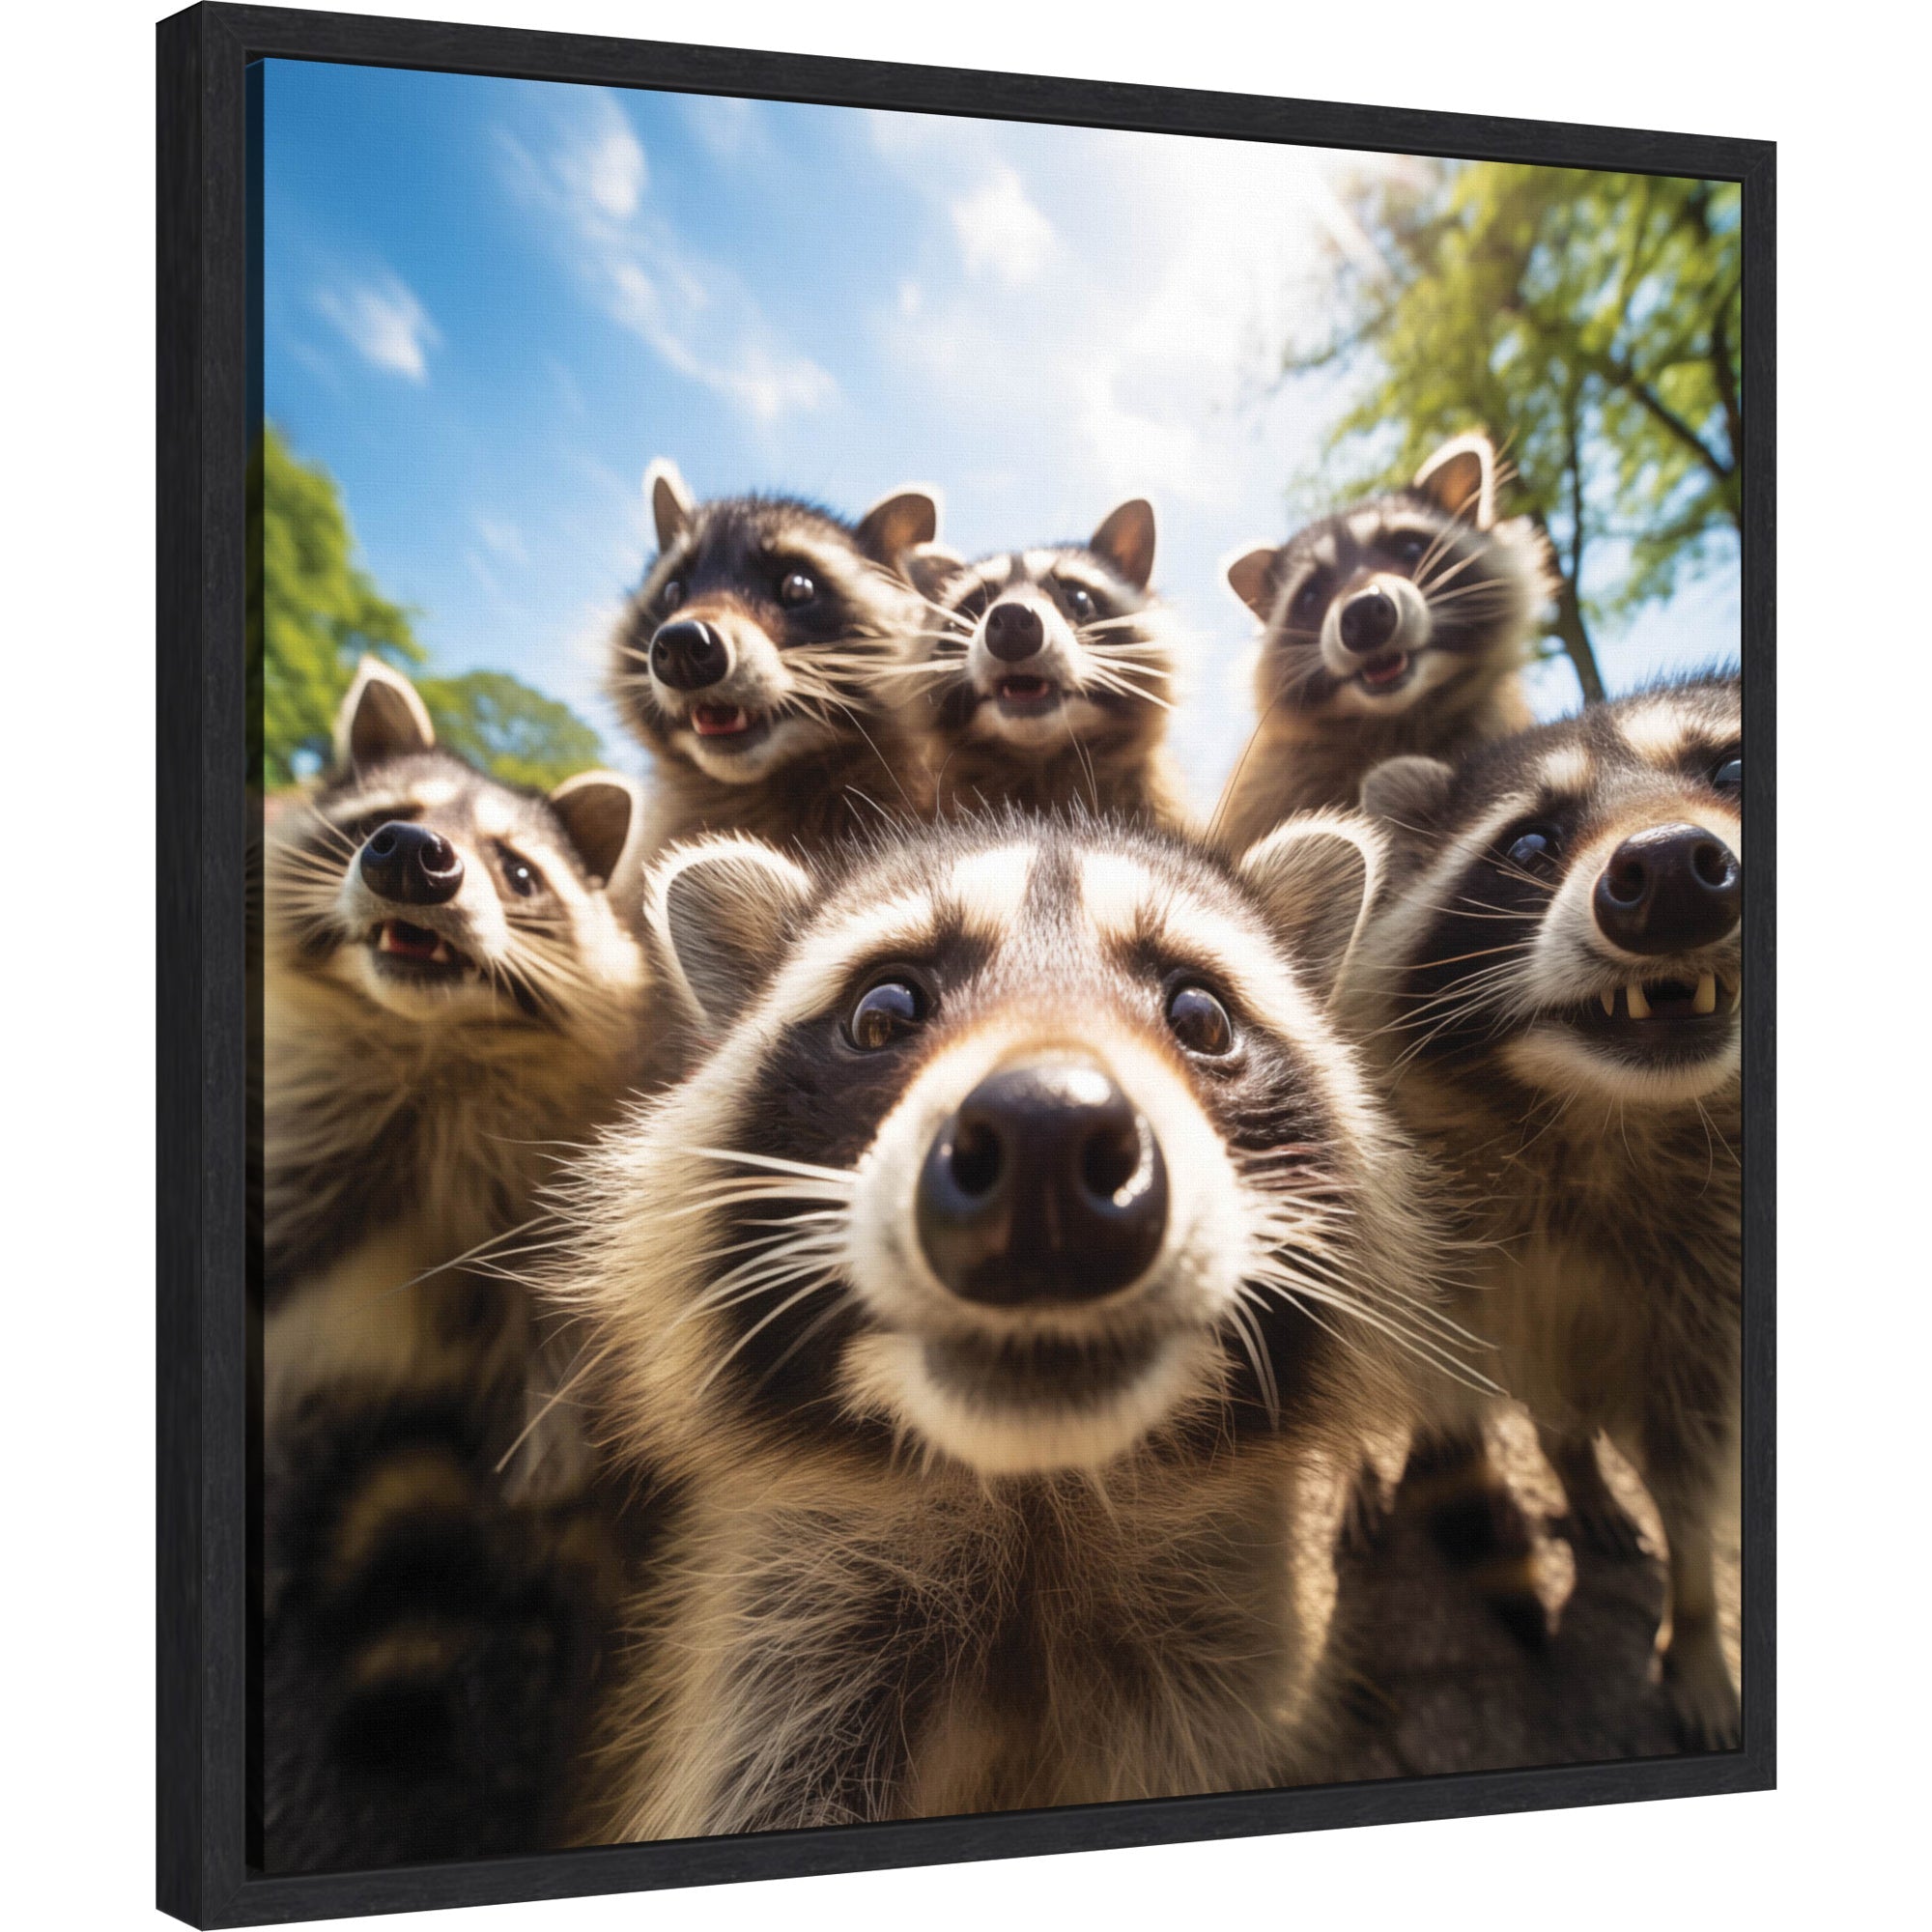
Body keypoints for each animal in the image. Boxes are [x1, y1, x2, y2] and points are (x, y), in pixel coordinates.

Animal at [1355, 674, 1743, 1749]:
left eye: (1736, 767)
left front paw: (1697, 1619)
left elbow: (1692, 1463)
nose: (1671, 873)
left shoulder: (1712, 1290)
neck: (1610, 1113)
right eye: (1530, 844)